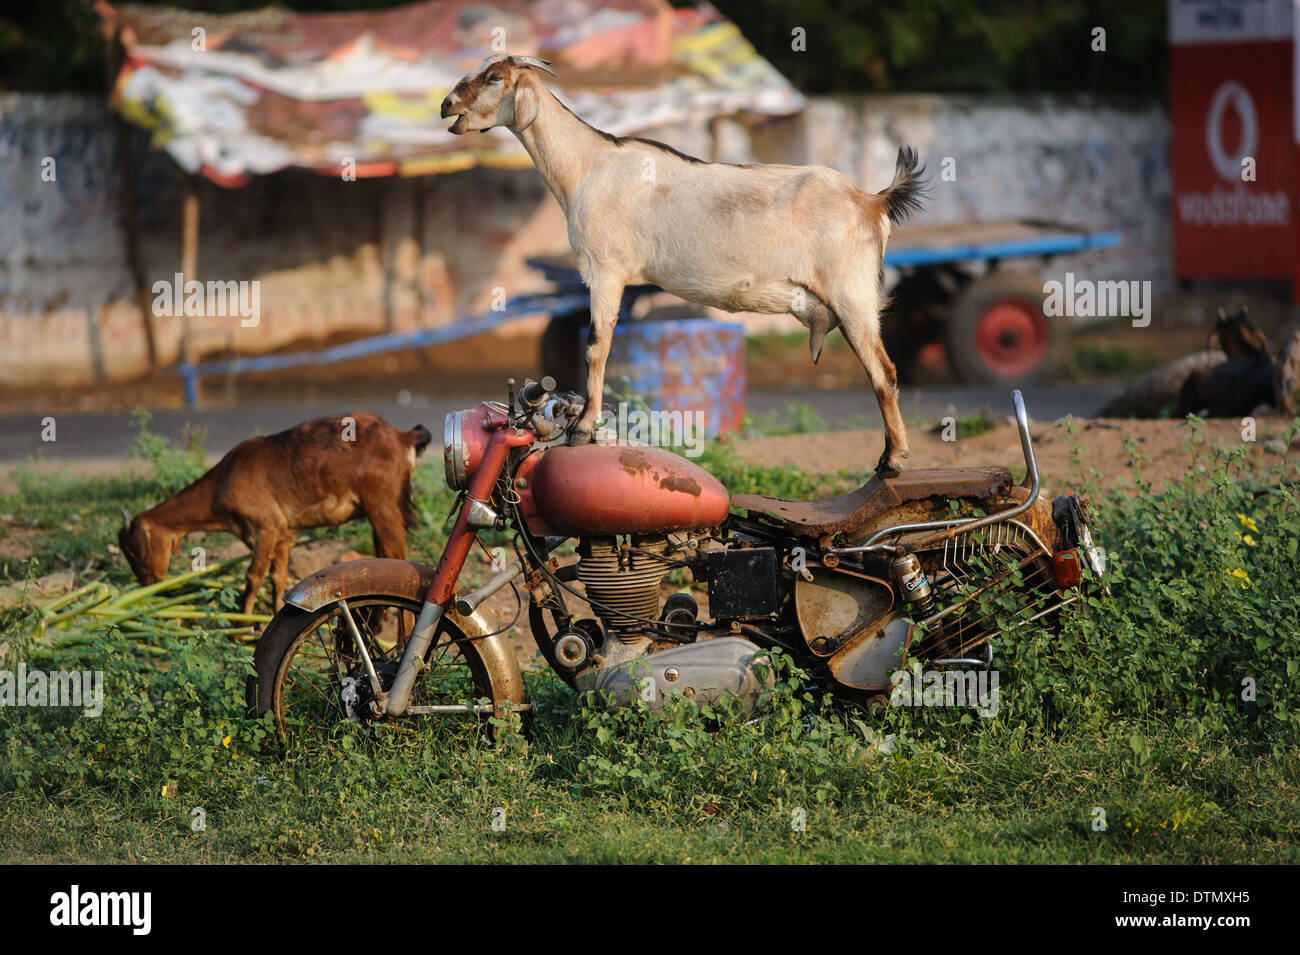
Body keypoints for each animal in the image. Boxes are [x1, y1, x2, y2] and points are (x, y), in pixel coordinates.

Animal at [118, 415, 431, 615]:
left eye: (134, 552)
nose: (147, 584)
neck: (224, 481)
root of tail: (403, 436)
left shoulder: (266, 529)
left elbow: (252, 577)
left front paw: (242, 627)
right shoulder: (283, 535)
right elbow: (277, 578)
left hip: (383, 505)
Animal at [441, 52, 930, 478]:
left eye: (494, 78)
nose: (447, 105)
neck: (587, 166)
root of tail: (872, 200)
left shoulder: (605, 271)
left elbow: (596, 346)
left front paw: (582, 429)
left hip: (852, 295)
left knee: (884, 373)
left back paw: (892, 461)